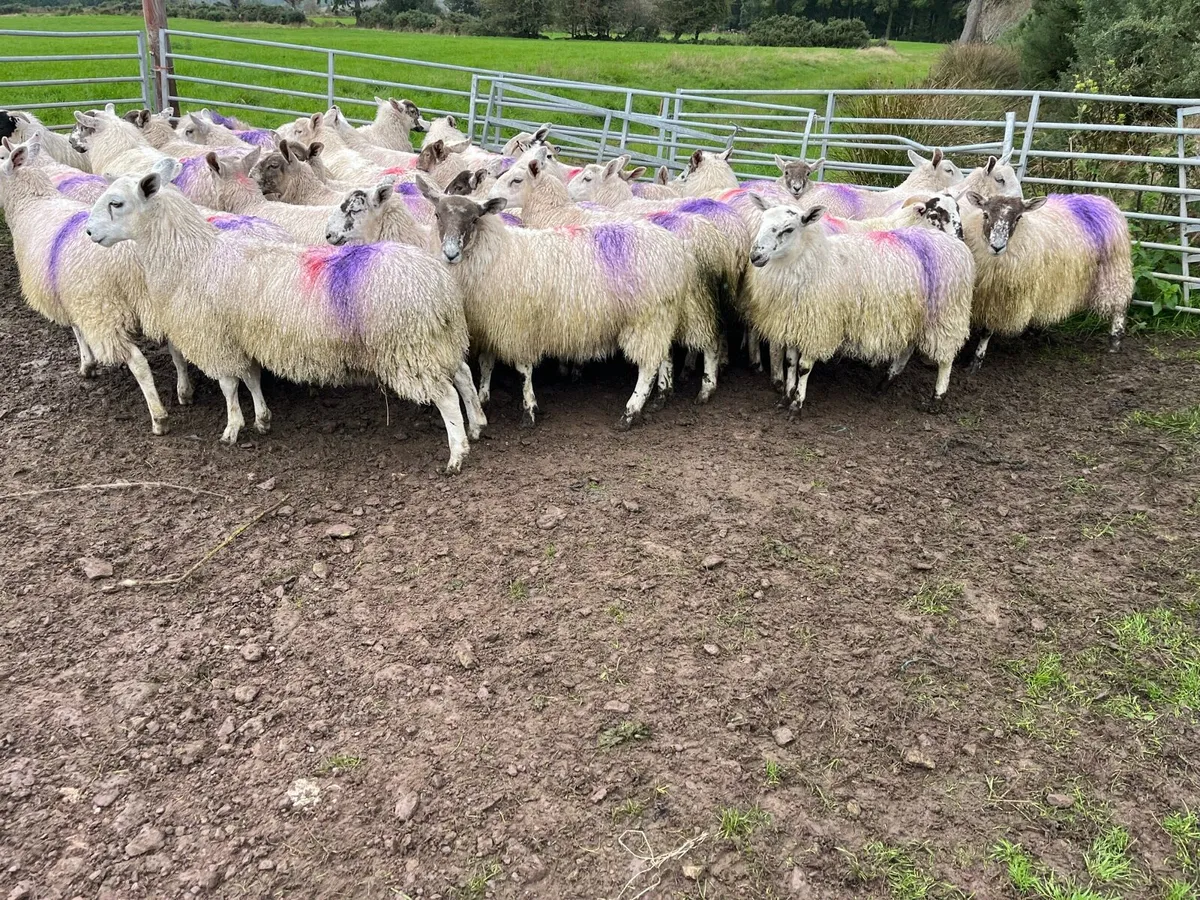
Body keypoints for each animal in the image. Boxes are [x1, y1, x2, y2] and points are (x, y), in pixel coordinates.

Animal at [0, 138, 192, 433]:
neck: (31, 204)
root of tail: (135, 254)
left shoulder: (77, 300)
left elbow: (77, 332)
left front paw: (87, 365)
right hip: (157, 302)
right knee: (176, 349)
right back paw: (184, 391)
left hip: (104, 310)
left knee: (138, 363)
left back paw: (159, 417)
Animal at [85, 159, 485, 473]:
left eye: (116, 203)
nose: (88, 232)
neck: (190, 256)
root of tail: (439, 283)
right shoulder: (241, 336)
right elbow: (250, 377)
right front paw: (262, 419)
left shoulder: (214, 337)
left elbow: (229, 385)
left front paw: (232, 429)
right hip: (435, 343)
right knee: (464, 377)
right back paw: (477, 424)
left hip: (409, 349)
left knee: (446, 396)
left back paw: (457, 454)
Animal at [416, 176, 692, 429]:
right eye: (437, 215)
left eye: (474, 219)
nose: (451, 254)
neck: (495, 254)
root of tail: (675, 247)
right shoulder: (489, 324)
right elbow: (486, 363)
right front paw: (484, 397)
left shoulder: (519, 326)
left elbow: (523, 370)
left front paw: (529, 411)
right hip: (662, 316)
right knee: (664, 354)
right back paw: (663, 395)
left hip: (646, 318)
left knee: (647, 367)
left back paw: (630, 413)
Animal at [742, 198, 975, 415]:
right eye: (763, 221)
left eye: (788, 229)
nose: (755, 256)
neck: (814, 261)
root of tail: (957, 246)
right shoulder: (794, 322)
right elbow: (790, 363)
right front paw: (786, 397)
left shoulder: (818, 327)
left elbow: (803, 368)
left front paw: (796, 405)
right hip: (915, 316)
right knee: (907, 350)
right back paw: (884, 383)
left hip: (946, 316)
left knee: (946, 359)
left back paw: (937, 397)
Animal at [961, 191, 1132, 367]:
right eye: (985, 214)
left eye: (1018, 217)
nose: (997, 247)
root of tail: (1103, 200)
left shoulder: (1000, 299)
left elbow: (986, 331)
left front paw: (977, 360)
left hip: (1114, 269)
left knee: (1120, 304)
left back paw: (1115, 340)